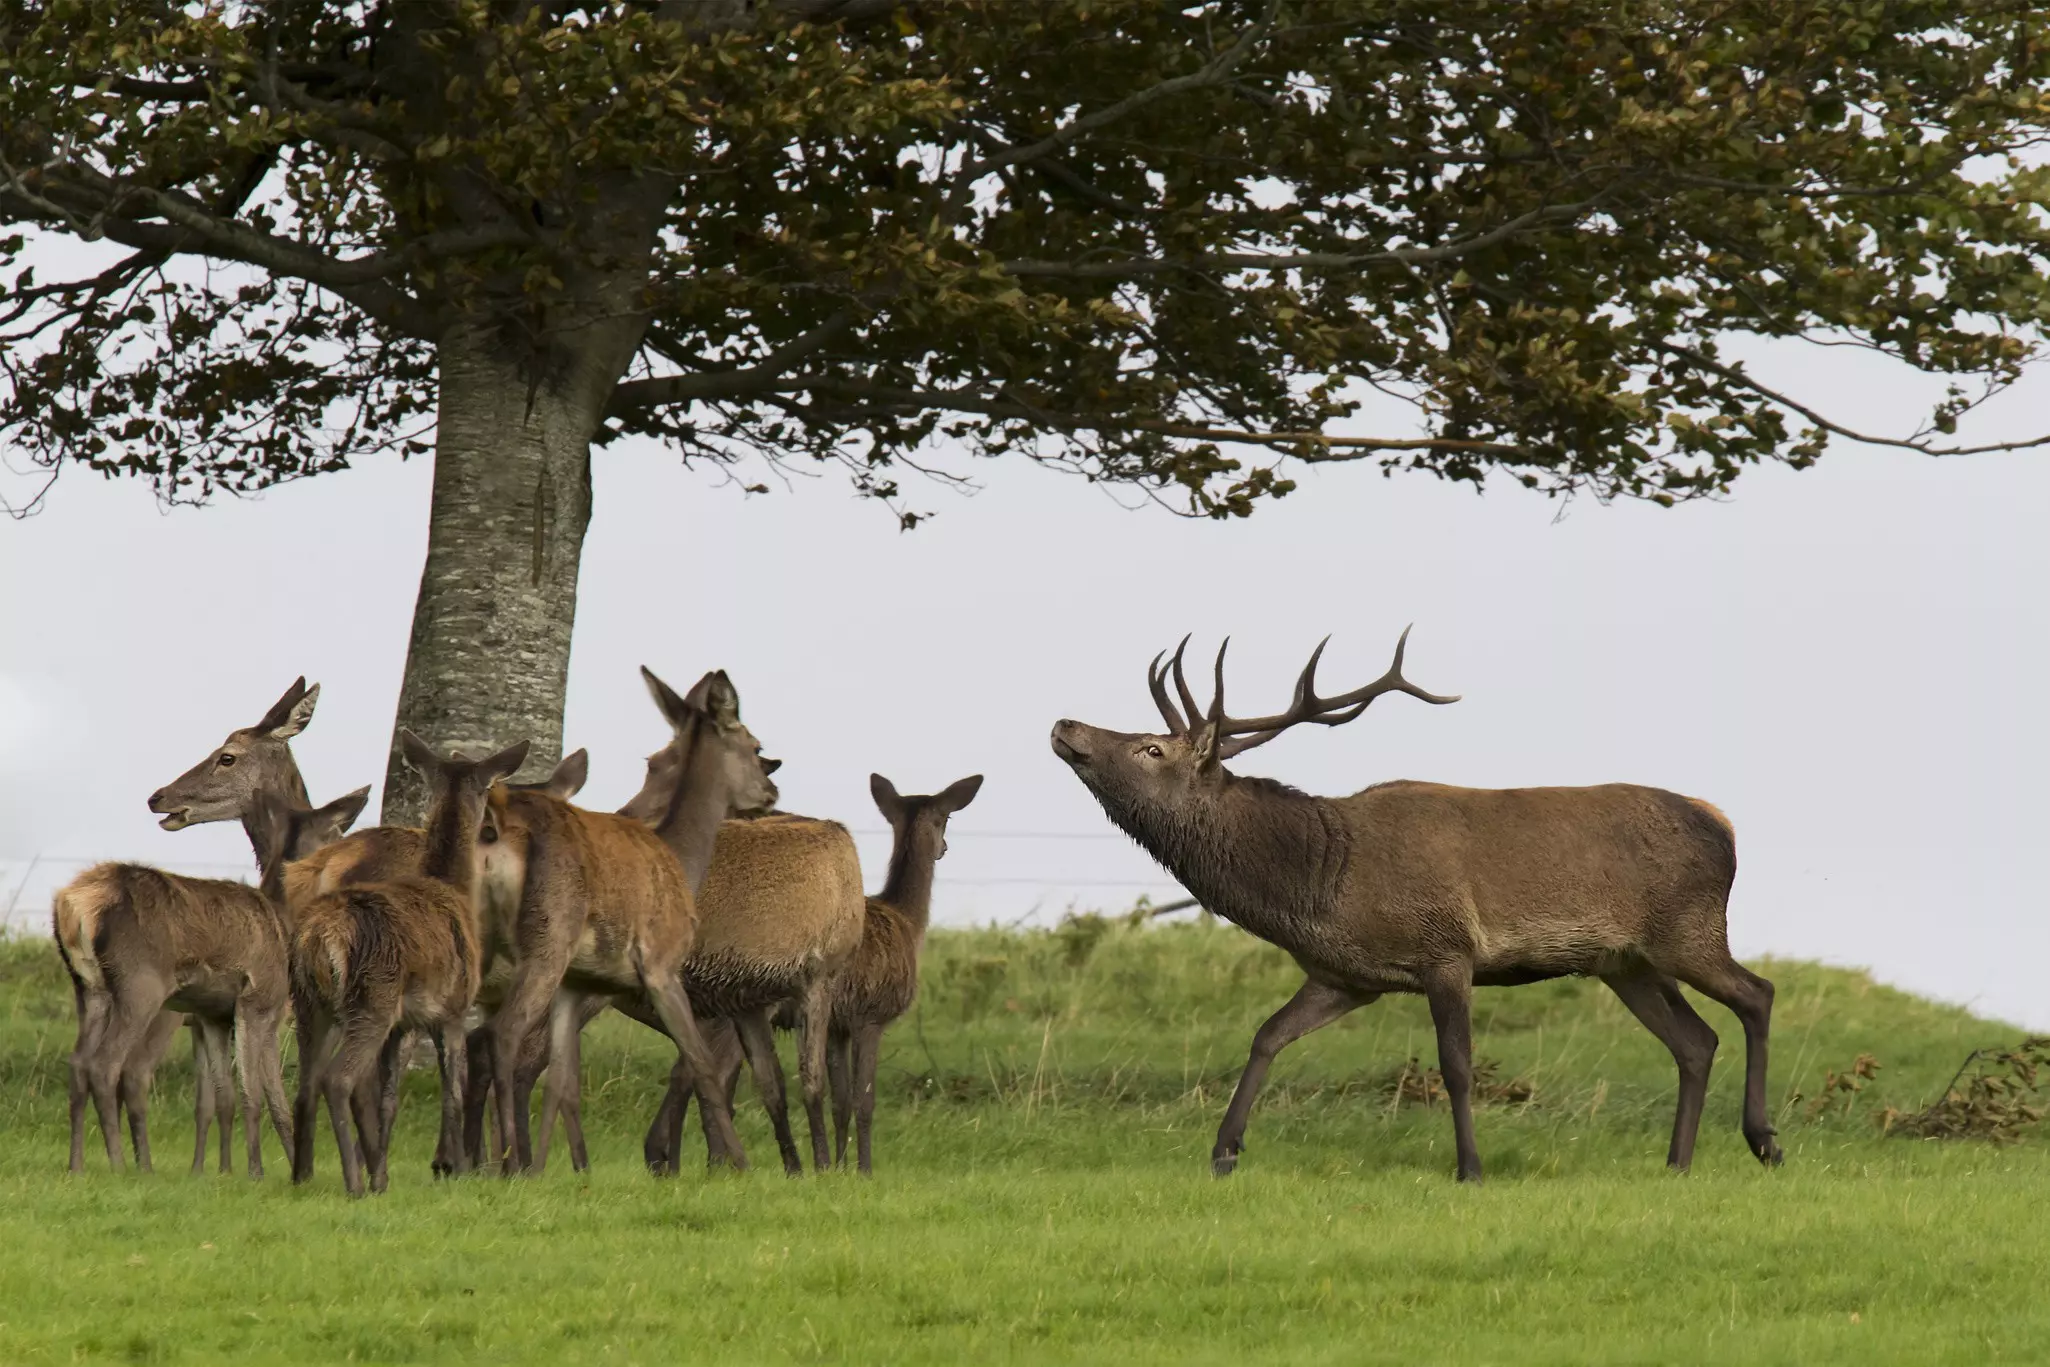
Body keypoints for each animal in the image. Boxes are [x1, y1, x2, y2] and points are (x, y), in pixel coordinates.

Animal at [55, 783, 370, 1177]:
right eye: (336, 832)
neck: (283, 923)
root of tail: (73, 904)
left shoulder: (214, 1016)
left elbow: (228, 1098)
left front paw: (223, 1171)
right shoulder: (260, 1002)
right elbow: (261, 1096)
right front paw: (261, 1171)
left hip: (89, 988)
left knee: (79, 1063)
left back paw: (77, 1165)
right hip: (142, 987)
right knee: (111, 1067)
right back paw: (120, 1165)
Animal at [288, 734, 525, 1196]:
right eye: (489, 787)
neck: (454, 889)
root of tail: (321, 936)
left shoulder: (403, 1025)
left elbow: (390, 1099)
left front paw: (383, 1174)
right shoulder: (453, 1008)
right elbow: (453, 1091)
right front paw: (456, 1169)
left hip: (309, 1002)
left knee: (305, 1084)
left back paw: (303, 1177)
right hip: (371, 997)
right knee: (336, 1079)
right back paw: (352, 1183)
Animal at [817, 772, 982, 1173]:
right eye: (946, 818)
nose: (944, 848)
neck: (909, 921)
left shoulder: (837, 1025)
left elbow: (839, 1103)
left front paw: (838, 1169)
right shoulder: (870, 1014)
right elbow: (863, 1101)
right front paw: (864, 1170)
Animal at [1050, 629, 1780, 1184]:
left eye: (1151, 747)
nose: (1064, 722)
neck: (1321, 884)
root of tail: (1723, 824)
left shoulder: (1447, 950)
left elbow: (1456, 1066)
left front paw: (1471, 1168)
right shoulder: (1346, 976)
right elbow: (1267, 1034)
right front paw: (1224, 1151)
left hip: (1689, 930)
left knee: (1757, 993)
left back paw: (1763, 1139)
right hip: (1625, 962)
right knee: (1696, 1040)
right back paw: (1677, 1163)